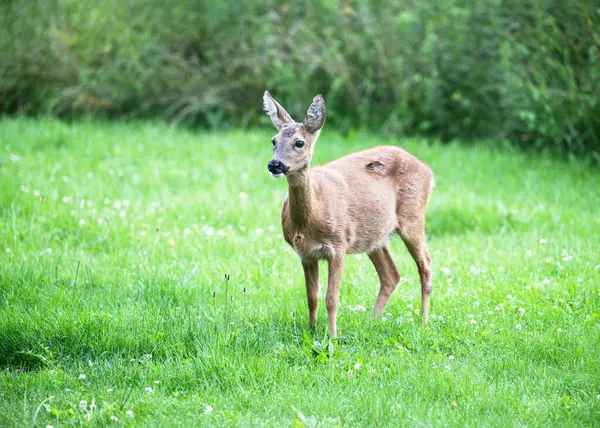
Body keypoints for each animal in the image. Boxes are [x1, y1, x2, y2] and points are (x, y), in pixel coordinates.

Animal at [262, 91, 436, 338]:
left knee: (426, 266)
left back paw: (423, 323)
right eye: (274, 140)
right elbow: (311, 297)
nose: (275, 164)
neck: (311, 218)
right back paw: (371, 321)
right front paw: (312, 330)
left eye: (299, 142)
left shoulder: (338, 245)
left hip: (413, 218)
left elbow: (331, 298)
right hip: (375, 236)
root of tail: (428, 172)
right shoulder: (306, 254)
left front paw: (332, 337)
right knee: (391, 275)